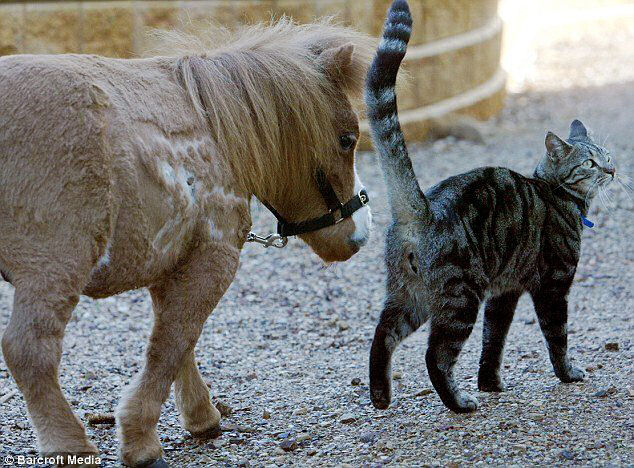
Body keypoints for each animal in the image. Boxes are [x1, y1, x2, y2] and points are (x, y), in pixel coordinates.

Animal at [362, 0, 616, 414]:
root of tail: (423, 209)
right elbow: (557, 337)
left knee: (382, 336)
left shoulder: (505, 293)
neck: (556, 192)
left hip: (410, 295)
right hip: (461, 298)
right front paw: (568, 374)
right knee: (435, 356)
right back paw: (458, 403)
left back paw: (381, 396)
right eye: (590, 163)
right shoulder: (553, 284)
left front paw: (491, 384)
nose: (611, 169)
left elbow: (493, 343)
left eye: (608, 156)